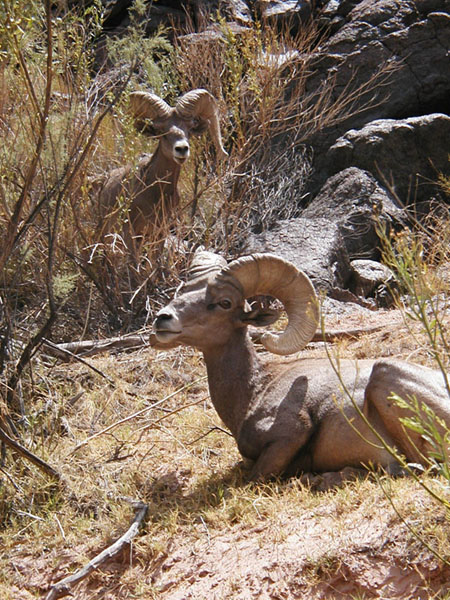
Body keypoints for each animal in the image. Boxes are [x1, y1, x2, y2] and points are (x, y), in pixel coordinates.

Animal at [154, 251, 450, 480]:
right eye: (182, 293)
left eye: (224, 303)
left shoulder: (291, 435)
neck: (254, 389)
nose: (163, 319)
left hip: (383, 376)